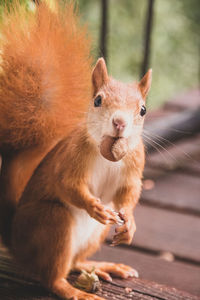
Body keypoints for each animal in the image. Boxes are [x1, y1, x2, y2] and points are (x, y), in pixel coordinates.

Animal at [0, 0, 152, 300]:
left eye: (142, 110)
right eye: (97, 100)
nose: (119, 123)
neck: (108, 154)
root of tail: (16, 243)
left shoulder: (134, 162)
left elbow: (129, 193)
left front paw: (129, 224)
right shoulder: (72, 156)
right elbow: (66, 184)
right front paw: (93, 205)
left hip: (94, 235)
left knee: (75, 262)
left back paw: (102, 265)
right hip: (53, 222)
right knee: (52, 277)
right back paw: (74, 290)